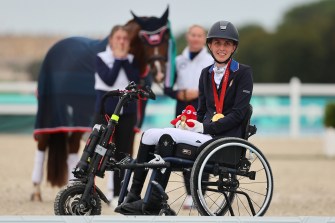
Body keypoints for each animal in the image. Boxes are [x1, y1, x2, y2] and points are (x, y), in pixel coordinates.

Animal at [30, 6, 173, 201]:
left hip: (78, 114)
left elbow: (123, 150)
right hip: (50, 110)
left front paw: (116, 193)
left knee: (73, 146)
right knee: (42, 144)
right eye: (144, 39)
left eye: (165, 36)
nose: (159, 72)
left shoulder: (131, 124)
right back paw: (36, 190)